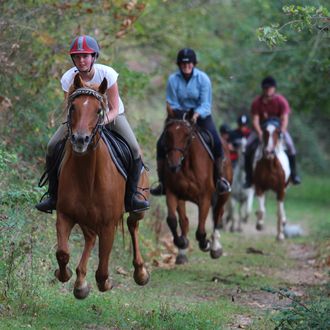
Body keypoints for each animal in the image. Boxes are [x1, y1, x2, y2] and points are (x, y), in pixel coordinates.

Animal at [54, 74, 150, 300]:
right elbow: (62, 253)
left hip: (138, 207)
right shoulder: (64, 214)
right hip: (85, 218)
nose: (80, 139)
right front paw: (66, 275)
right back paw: (80, 281)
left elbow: (102, 271)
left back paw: (141, 273)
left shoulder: (108, 224)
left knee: (133, 224)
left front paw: (105, 283)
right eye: (73, 107)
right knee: (90, 237)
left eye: (98, 110)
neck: (87, 176)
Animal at [162, 109, 232, 264]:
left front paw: (205, 244)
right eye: (167, 134)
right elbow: (173, 220)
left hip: (223, 195)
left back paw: (215, 248)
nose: (173, 165)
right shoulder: (173, 193)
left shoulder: (205, 197)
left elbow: (200, 231)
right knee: (186, 221)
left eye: (187, 135)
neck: (187, 165)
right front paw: (181, 243)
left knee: (218, 215)